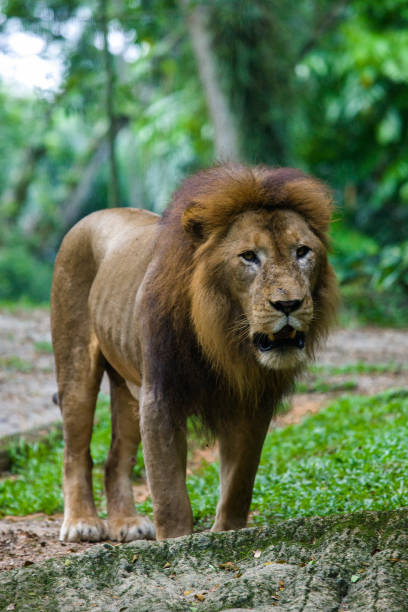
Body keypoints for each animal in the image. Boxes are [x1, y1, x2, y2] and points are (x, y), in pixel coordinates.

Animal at [51, 163, 338, 540]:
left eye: (301, 251)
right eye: (249, 256)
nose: (288, 304)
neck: (225, 339)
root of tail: (92, 216)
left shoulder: (252, 400)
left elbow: (238, 484)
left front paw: (227, 535)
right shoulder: (160, 396)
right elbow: (170, 493)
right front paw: (175, 543)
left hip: (127, 387)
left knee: (116, 458)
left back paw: (127, 522)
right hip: (75, 365)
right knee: (75, 452)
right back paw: (82, 522)